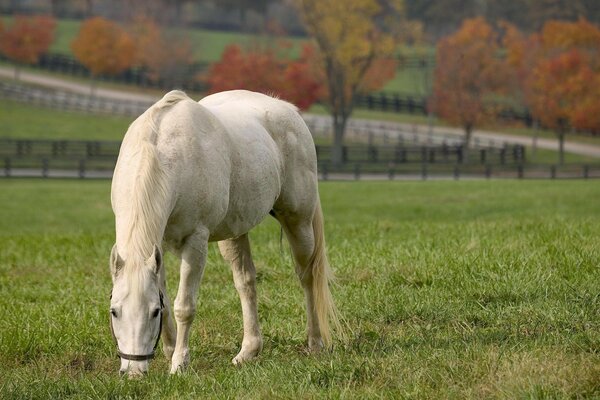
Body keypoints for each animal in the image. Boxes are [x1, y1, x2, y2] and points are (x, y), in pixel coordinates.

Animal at [109, 89, 338, 376]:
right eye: (114, 311)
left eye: (152, 312)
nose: (134, 372)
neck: (165, 155)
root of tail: (288, 109)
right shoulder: (156, 246)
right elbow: (168, 298)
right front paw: (170, 351)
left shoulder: (195, 242)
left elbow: (184, 306)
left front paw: (179, 364)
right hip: (235, 233)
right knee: (246, 282)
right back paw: (248, 351)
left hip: (299, 222)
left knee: (308, 277)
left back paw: (315, 342)